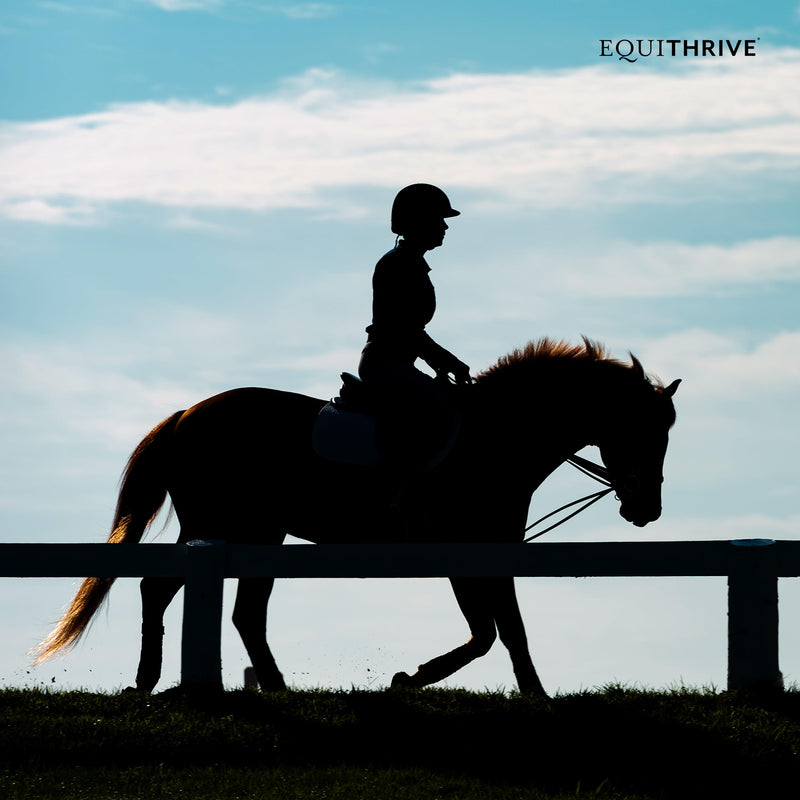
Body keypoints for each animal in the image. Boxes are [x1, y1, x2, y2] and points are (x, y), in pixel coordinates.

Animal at [33, 338, 679, 696]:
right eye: (642, 431)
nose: (645, 510)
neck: (497, 438)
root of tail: (187, 414)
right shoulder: (468, 554)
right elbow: (494, 633)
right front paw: (421, 681)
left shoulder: (483, 554)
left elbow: (499, 633)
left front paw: (516, 693)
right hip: (223, 527)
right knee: (167, 589)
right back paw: (152, 680)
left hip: (255, 533)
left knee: (235, 610)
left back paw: (266, 686)